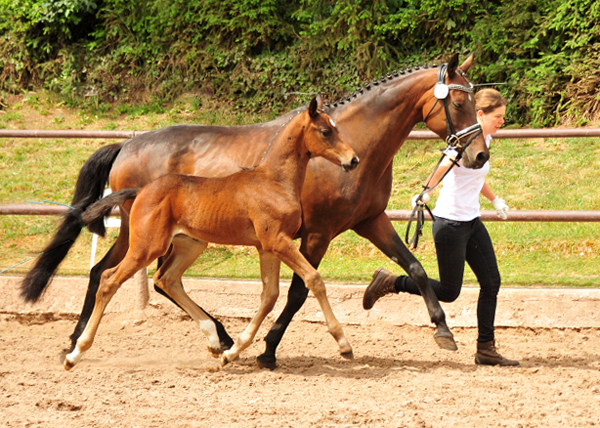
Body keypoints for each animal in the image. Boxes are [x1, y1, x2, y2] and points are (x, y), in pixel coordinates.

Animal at [63, 95, 358, 370]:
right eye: (326, 131)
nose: (353, 160)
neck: (274, 181)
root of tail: (141, 191)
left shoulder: (267, 247)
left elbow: (269, 295)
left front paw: (233, 352)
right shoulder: (277, 241)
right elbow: (313, 279)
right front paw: (343, 344)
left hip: (190, 244)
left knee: (166, 279)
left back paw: (215, 340)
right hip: (147, 246)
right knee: (109, 279)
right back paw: (75, 353)